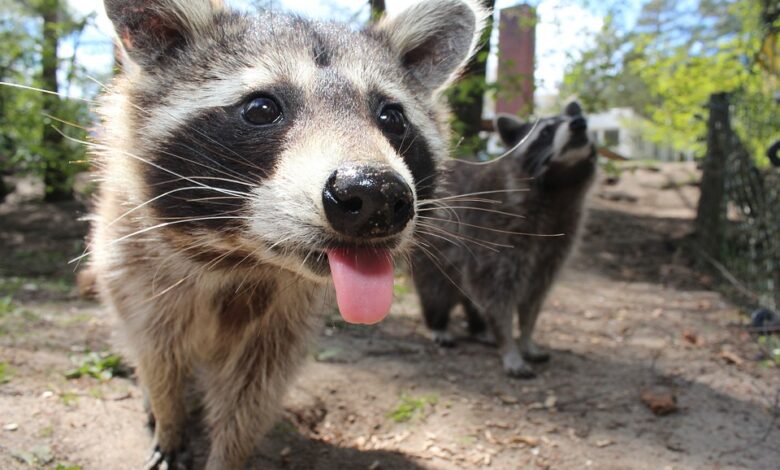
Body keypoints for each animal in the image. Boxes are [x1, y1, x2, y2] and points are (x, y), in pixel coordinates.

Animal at [88, 0, 484, 466]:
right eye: (261, 108)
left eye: (392, 117)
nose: (376, 195)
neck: (243, 257)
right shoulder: (137, 268)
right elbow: (157, 355)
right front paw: (170, 421)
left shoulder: (284, 320)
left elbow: (253, 392)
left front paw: (228, 455)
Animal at [412, 102, 596, 378]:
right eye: (545, 132)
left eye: (581, 119)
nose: (579, 124)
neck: (558, 188)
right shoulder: (495, 232)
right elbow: (497, 296)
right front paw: (509, 345)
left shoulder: (556, 243)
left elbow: (534, 297)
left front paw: (527, 337)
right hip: (434, 251)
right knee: (435, 289)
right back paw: (439, 323)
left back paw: (478, 328)